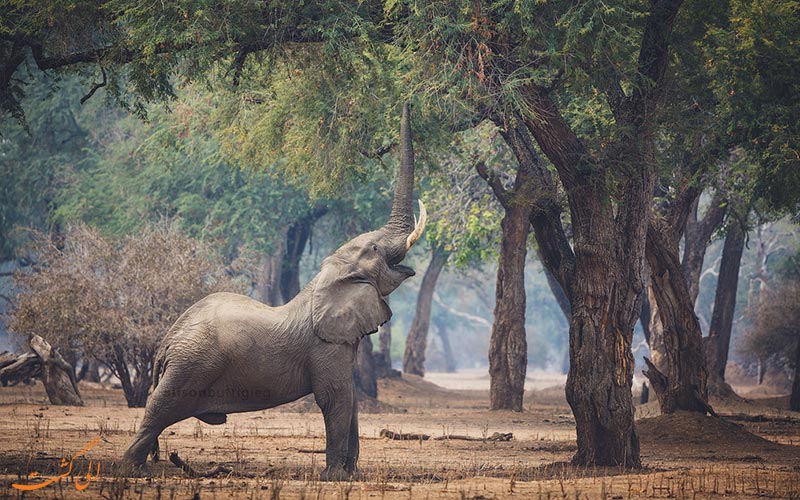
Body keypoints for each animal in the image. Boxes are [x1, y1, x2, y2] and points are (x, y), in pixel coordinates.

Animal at [121, 104, 422, 480]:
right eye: (377, 250)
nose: (407, 103)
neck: (327, 280)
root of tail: (167, 341)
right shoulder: (324, 345)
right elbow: (335, 397)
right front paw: (335, 478)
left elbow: (350, 400)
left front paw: (351, 475)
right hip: (191, 364)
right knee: (159, 408)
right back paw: (132, 470)